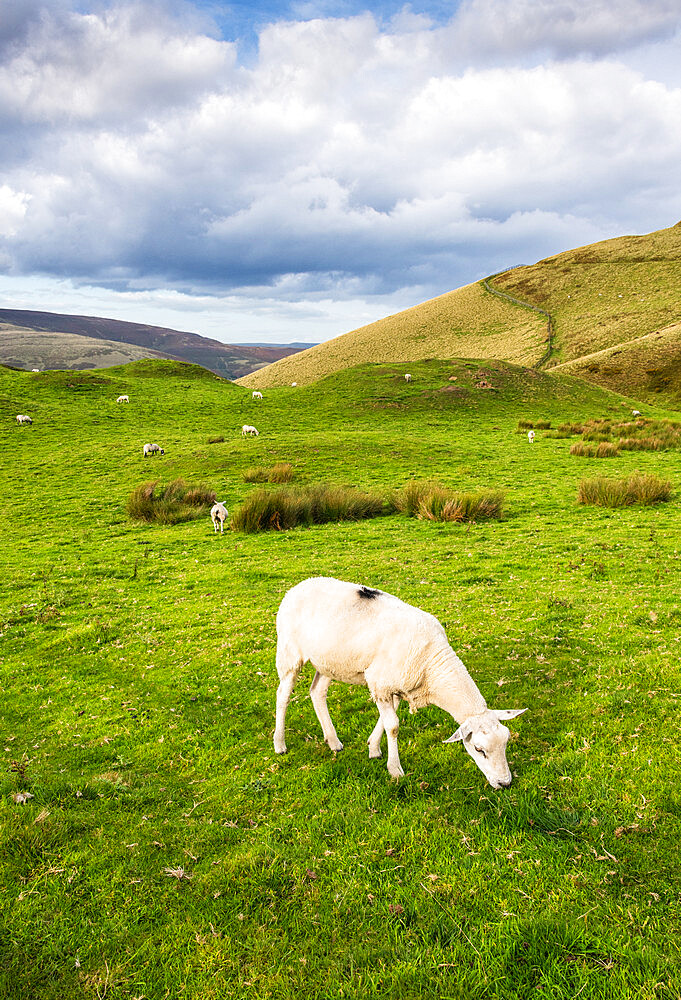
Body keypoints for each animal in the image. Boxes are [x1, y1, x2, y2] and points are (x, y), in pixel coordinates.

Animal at [272, 580, 524, 788]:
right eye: (479, 749)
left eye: (506, 741)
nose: (505, 784)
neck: (432, 665)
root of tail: (297, 586)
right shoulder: (380, 682)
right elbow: (392, 725)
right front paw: (395, 770)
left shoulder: (394, 686)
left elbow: (386, 720)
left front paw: (373, 748)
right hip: (289, 653)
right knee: (283, 696)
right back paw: (279, 744)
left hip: (329, 661)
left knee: (317, 692)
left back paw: (333, 741)